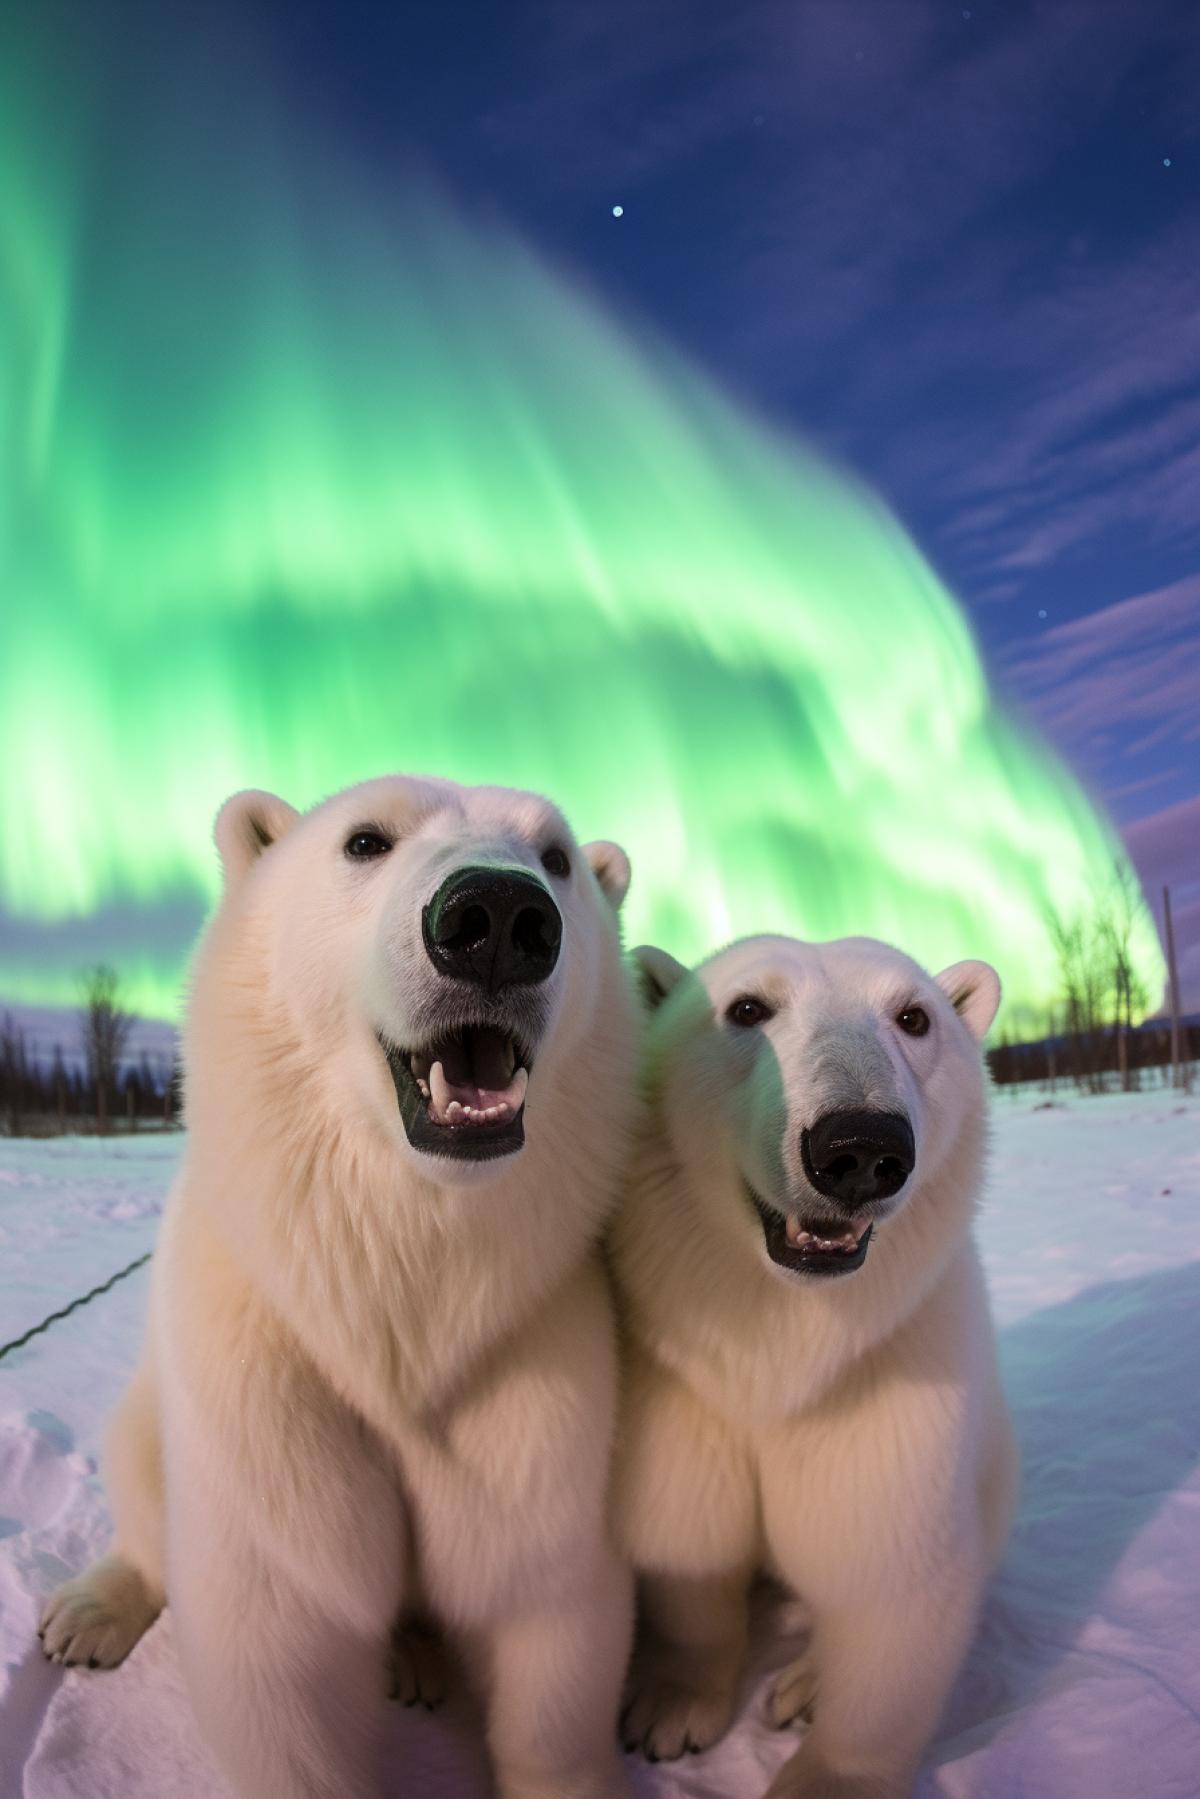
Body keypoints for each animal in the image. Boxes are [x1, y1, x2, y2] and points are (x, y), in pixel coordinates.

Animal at [40, 774, 641, 1799]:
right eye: (366, 839)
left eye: (557, 854)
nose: (497, 916)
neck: (396, 1294)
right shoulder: (268, 1376)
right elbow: (285, 1637)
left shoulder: (536, 1381)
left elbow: (545, 1618)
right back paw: (85, 1613)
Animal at [609, 933, 1017, 1799]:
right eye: (746, 1007)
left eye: (914, 1015)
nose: (860, 1147)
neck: (788, 1342)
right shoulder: (680, 1389)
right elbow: (691, 1537)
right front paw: (669, 1711)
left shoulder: (890, 1378)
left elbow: (888, 1573)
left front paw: (825, 1771)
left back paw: (802, 1685)